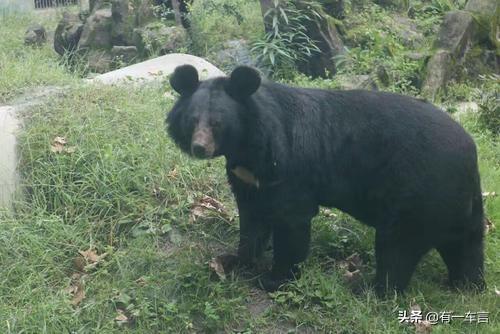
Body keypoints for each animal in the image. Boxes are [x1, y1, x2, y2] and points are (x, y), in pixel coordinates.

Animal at [167, 64, 484, 294]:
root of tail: (469, 149)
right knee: (465, 243)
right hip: (457, 200)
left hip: (415, 191)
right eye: (192, 120)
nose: (199, 147)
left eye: (218, 123)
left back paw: (369, 289)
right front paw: (237, 262)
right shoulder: (245, 176)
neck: (248, 145)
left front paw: (274, 279)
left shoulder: (289, 166)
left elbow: (291, 220)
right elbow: (252, 217)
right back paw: (467, 285)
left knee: (398, 246)